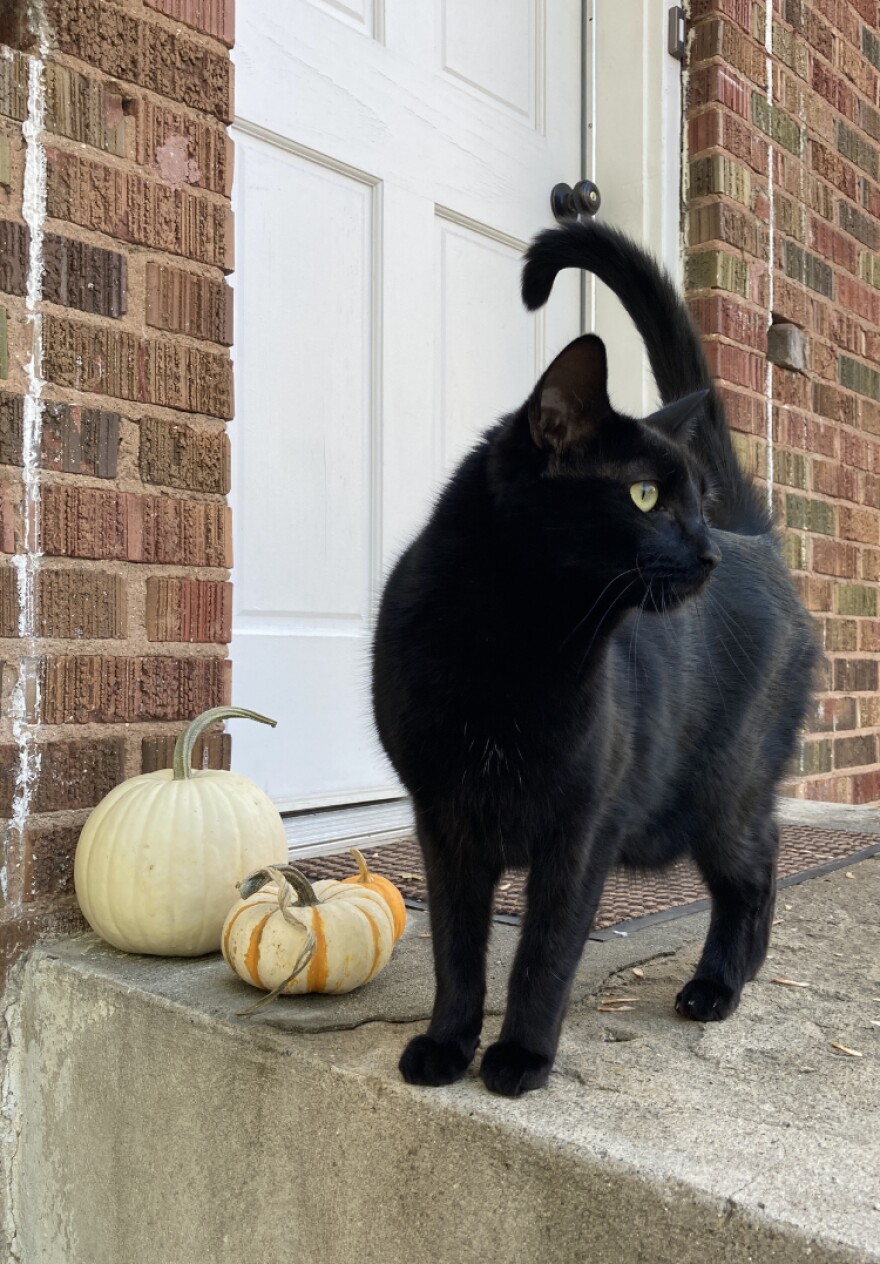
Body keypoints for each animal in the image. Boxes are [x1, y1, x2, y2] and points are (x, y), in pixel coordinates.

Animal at [371, 219, 819, 1097]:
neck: (510, 651)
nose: (706, 550)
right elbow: (456, 952)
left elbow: (544, 955)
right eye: (647, 497)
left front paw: (519, 1057)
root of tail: (756, 538)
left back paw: (719, 986)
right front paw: (446, 1045)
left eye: (693, 499)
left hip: (718, 792)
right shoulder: (444, 825)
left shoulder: (583, 832)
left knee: (757, 867)